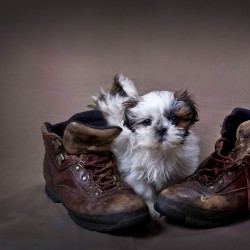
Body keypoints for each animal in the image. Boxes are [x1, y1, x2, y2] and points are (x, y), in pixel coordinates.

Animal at [90, 74, 199, 217]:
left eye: (174, 119)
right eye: (147, 122)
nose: (161, 129)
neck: (159, 151)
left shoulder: (181, 170)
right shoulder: (136, 174)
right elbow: (146, 192)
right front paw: (152, 207)